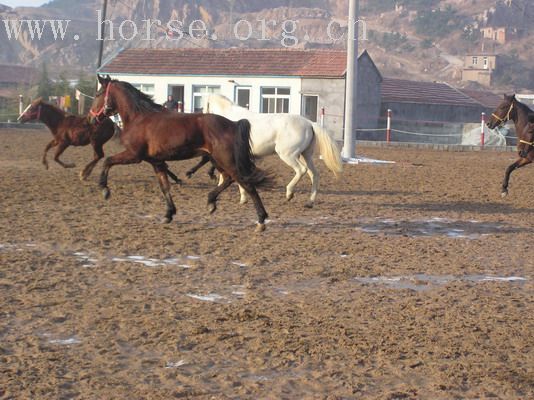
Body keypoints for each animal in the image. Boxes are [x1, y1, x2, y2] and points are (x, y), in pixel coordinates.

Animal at [90, 75, 272, 231]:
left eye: (98, 94)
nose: (92, 118)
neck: (139, 118)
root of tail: (233, 124)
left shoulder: (134, 155)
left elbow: (107, 160)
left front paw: (104, 189)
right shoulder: (157, 162)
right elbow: (165, 187)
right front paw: (168, 214)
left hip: (226, 160)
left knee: (246, 184)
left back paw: (261, 221)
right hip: (217, 160)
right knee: (228, 179)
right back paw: (211, 202)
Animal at [205, 92, 344, 208]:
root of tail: (309, 123)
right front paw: (242, 198)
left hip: (288, 155)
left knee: (301, 170)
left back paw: (289, 194)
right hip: (306, 155)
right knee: (314, 174)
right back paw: (310, 202)